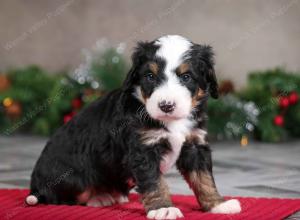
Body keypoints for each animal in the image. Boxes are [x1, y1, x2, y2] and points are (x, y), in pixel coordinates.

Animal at [25, 35, 241, 219]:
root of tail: (35, 186)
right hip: (71, 178)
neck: (172, 121)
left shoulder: (195, 144)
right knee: (65, 197)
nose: (166, 105)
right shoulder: (143, 149)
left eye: (186, 77)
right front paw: (163, 208)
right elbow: (155, 182)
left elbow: (204, 178)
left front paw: (218, 204)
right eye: (150, 76)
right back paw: (99, 197)